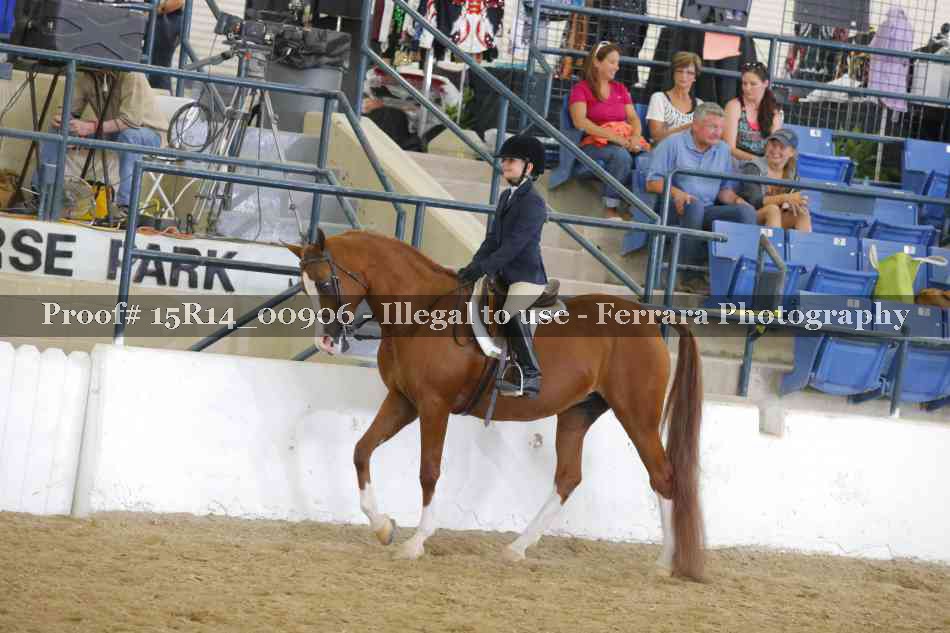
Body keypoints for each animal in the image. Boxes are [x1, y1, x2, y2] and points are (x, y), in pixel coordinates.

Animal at [286, 228, 706, 581]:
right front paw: (383, 527)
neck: (423, 313)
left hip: (637, 414)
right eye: (304, 285)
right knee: (568, 478)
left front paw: (415, 542)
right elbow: (361, 450)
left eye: (325, 281)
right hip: (578, 412)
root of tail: (649, 314)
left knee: (663, 477)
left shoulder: (433, 405)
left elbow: (429, 471)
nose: (326, 342)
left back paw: (664, 564)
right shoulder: (403, 400)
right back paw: (516, 549)